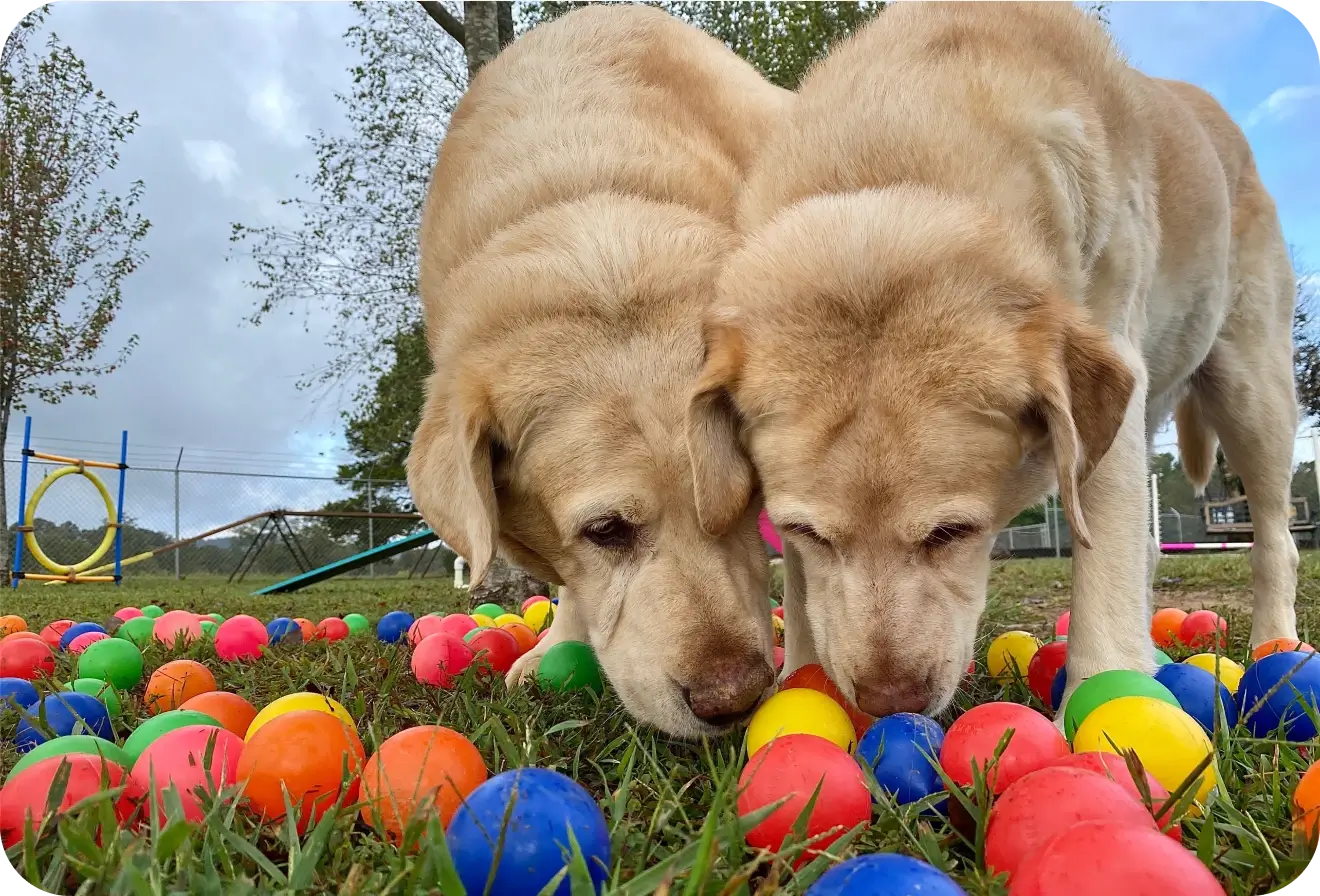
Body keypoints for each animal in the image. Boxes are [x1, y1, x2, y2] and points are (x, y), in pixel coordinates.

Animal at [691, 1, 1298, 723]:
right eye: (805, 530)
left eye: (954, 531)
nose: (890, 703)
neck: (898, 147)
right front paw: (802, 682)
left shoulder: (1105, 396)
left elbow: (1104, 577)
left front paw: (1096, 711)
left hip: (1251, 392)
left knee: (1274, 536)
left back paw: (1274, 648)